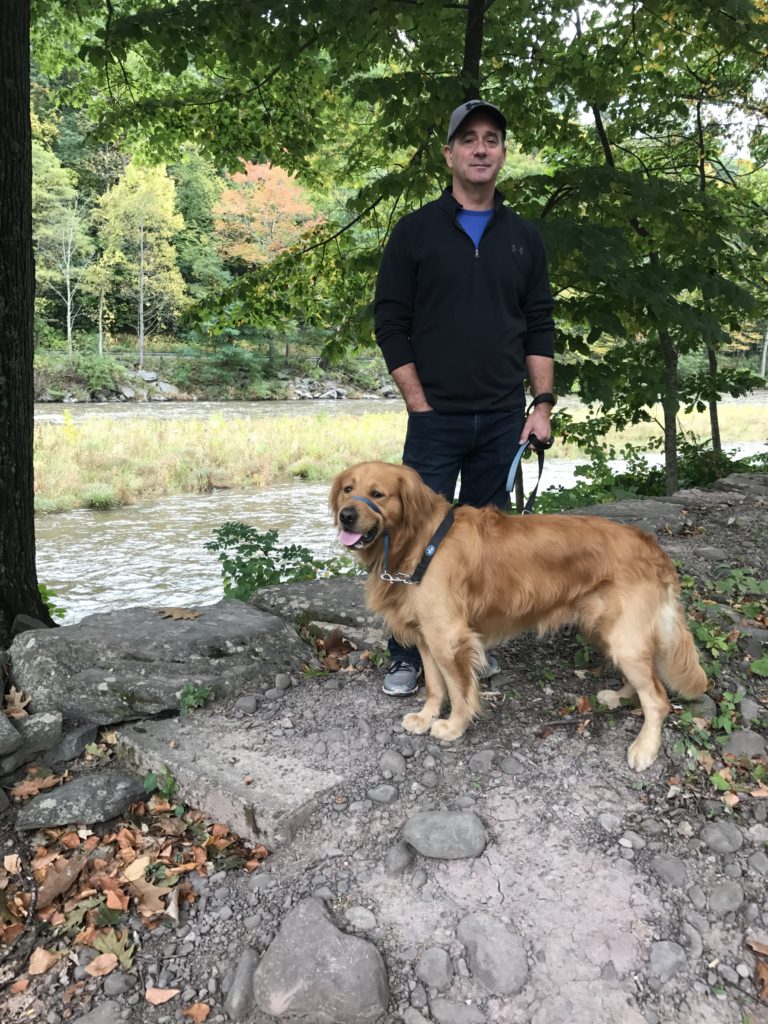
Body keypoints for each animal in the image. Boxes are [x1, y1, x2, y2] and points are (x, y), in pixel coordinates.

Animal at [331, 462, 708, 770]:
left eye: (377, 494)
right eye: (348, 488)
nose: (346, 515)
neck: (421, 544)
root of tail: (651, 546)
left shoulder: (449, 639)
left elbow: (458, 690)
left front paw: (454, 726)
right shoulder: (426, 637)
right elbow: (436, 687)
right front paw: (426, 717)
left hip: (624, 636)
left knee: (658, 699)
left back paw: (644, 748)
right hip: (610, 630)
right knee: (645, 678)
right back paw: (619, 696)